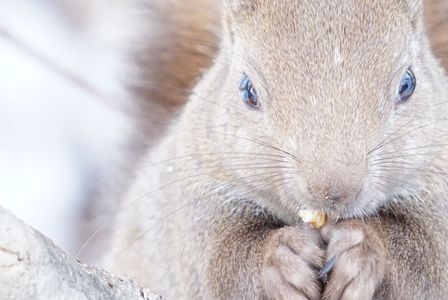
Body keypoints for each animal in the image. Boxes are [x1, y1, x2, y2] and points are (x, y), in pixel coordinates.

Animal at [106, 0, 448, 300]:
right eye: (247, 90)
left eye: (407, 84)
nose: (334, 192)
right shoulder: (195, 198)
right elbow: (216, 262)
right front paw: (283, 259)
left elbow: (429, 259)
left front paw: (361, 250)